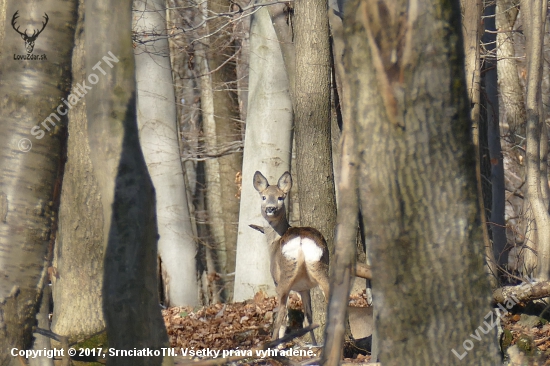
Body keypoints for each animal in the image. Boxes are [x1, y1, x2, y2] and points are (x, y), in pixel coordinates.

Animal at [253, 170, 330, 344]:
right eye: (263, 197)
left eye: (281, 197)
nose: (270, 208)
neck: (273, 242)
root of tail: (301, 239)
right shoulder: (304, 287)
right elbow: (308, 317)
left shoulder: (277, 279)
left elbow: (286, 316)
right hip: (320, 266)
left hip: (285, 274)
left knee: (281, 313)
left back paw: (273, 343)